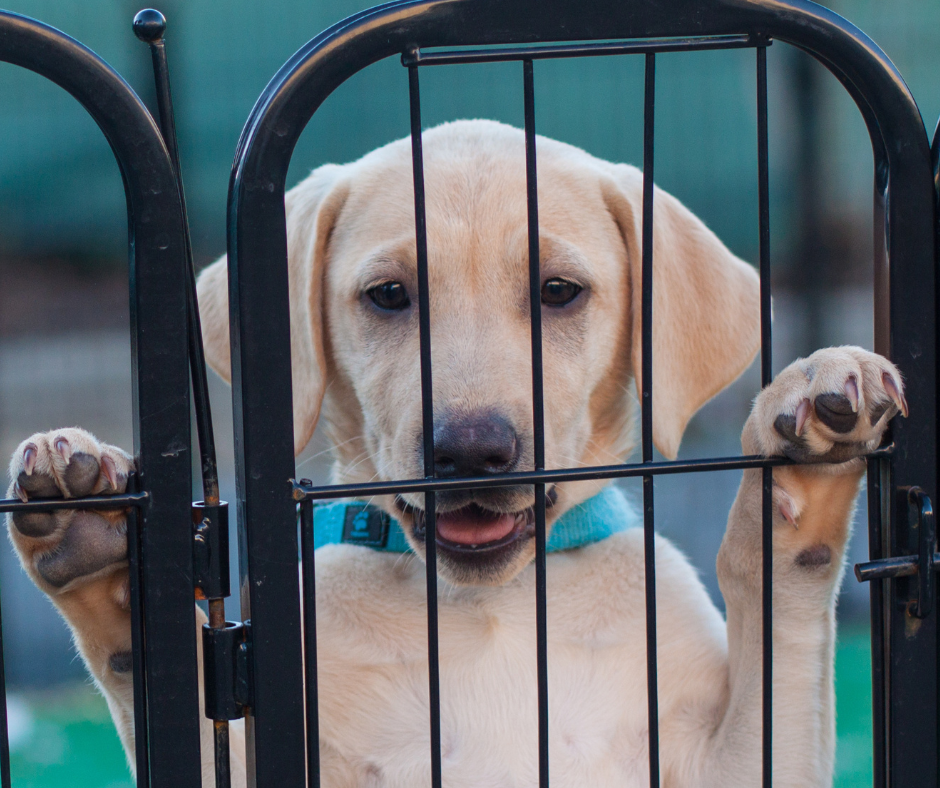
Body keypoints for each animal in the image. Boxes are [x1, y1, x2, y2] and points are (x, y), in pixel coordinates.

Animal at [5, 120, 904, 784]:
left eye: (560, 292)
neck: (490, 608)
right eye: (388, 296)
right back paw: (89, 549)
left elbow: (776, 612)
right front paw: (103, 562)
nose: (471, 450)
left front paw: (807, 455)